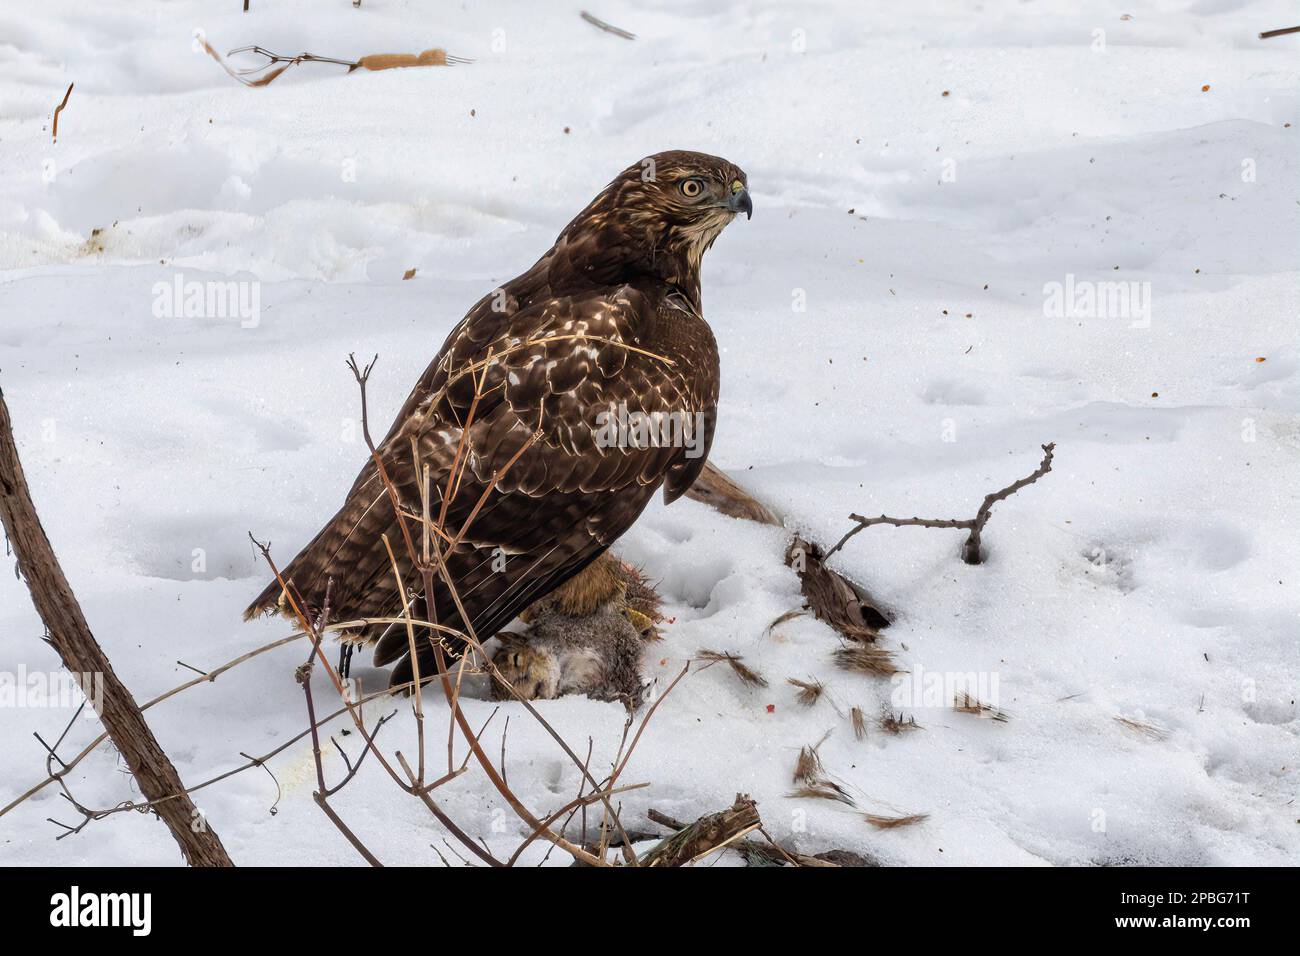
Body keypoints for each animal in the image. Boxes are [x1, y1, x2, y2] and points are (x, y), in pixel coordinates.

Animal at [489, 554, 662, 707]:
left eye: (516, 658)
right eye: (512, 699)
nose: (531, 695)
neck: (565, 667)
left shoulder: (599, 629)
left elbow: (627, 641)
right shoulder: (588, 690)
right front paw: (629, 696)